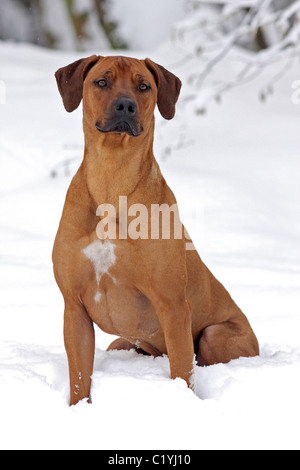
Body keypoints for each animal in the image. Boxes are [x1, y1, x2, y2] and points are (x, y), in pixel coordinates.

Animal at [52, 55, 258, 404]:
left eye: (143, 86)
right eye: (102, 82)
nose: (125, 105)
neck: (113, 178)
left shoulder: (172, 304)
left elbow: (182, 371)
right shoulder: (74, 307)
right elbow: (79, 378)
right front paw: (78, 408)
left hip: (216, 334)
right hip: (121, 342)